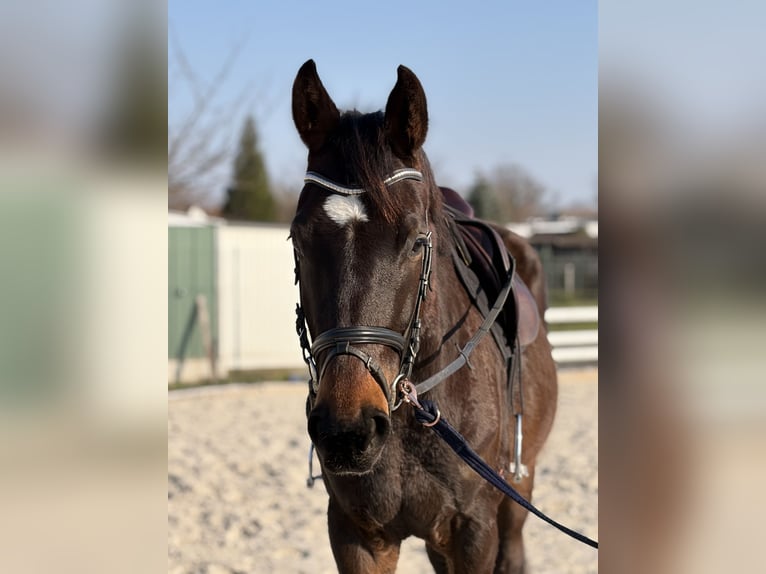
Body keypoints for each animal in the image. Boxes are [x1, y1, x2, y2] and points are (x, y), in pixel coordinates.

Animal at [290, 59, 558, 574]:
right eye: (298, 239)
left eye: (417, 240)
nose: (346, 432)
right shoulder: (356, 534)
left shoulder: (473, 531)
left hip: (520, 486)